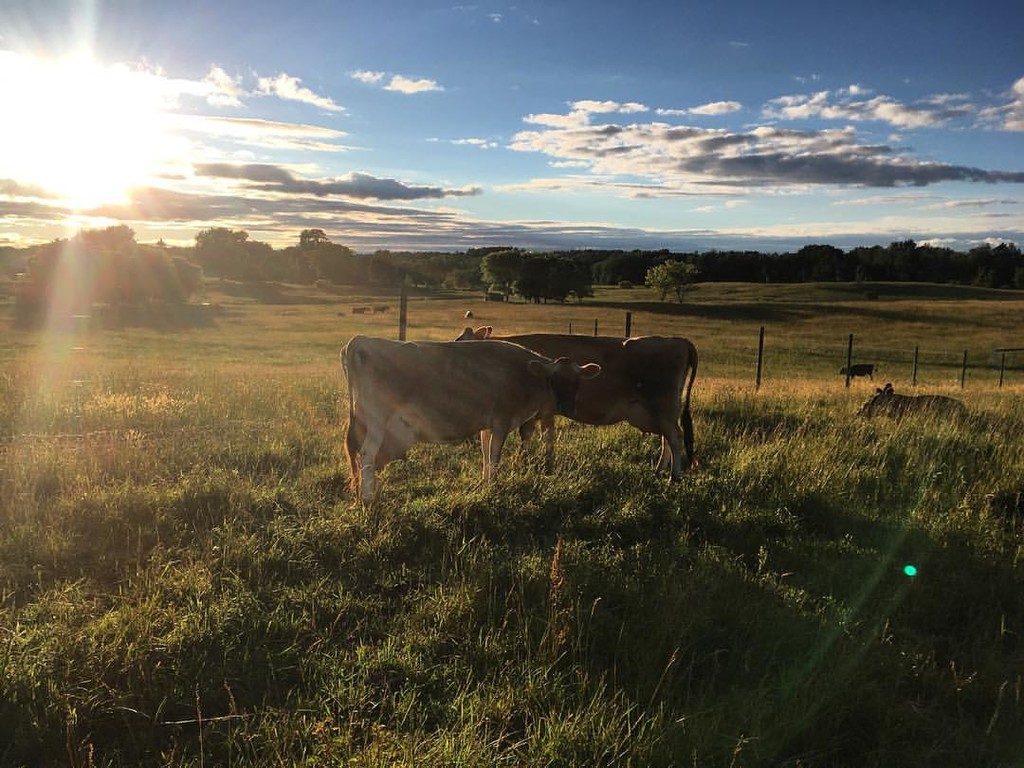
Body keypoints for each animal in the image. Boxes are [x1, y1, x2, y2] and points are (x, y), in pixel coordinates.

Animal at [341, 335, 601, 503]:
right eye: (553, 379)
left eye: (577, 381)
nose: (566, 406)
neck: (522, 375)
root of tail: (361, 341)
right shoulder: (501, 422)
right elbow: (494, 458)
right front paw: (492, 489)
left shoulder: (487, 425)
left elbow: (486, 454)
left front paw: (484, 484)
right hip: (377, 420)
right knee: (367, 455)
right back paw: (368, 499)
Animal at [456, 326, 698, 481]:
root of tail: (679, 340)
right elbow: (541, 437)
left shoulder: (538, 411)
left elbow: (534, 436)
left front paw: (528, 463)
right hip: (661, 410)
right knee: (668, 438)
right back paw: (659, 471)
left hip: (663, 405)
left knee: (675, 437)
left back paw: (674, 476)